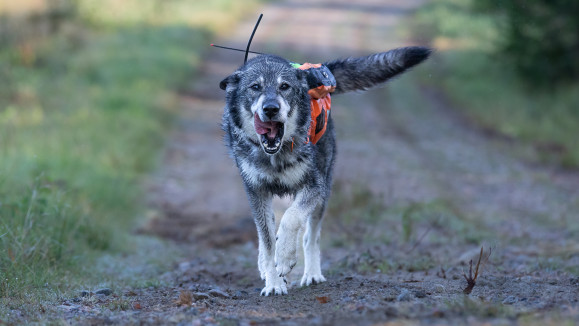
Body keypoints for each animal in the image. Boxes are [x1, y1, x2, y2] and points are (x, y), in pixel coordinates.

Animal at [220, 46, 432, 296]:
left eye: (284, 86)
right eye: (255, 87)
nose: (271, 108)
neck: (275, 156)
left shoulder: (314, 186)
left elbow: (291, 219)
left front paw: (285, 257)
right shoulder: (256, 192)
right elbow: (268, 240)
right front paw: (273, 283)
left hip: (324, 195)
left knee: (311, 237)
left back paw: (312, 274)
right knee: (267, 235)